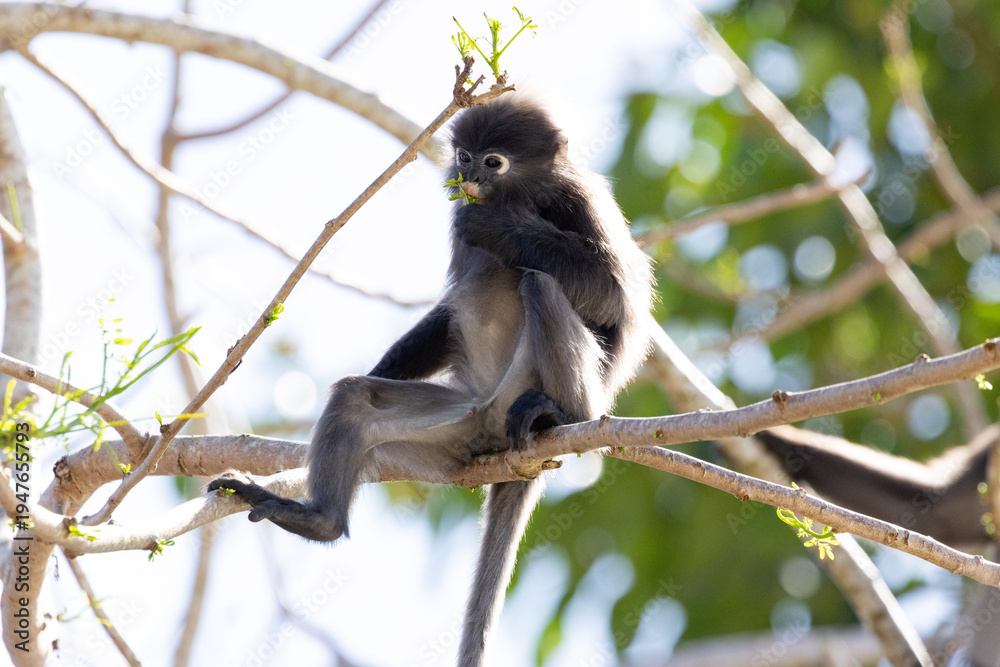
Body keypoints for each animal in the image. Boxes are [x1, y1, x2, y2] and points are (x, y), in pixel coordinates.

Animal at [209, 95, 654, 666]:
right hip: (458, 430)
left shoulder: (580, 201)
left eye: (493, 162)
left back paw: (562, 413)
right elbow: (445, 315)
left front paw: (498, 227)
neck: (524, 194)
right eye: (464, 155)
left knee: (540, 283)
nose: (468, 176)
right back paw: (318, 520)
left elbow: (615, 301)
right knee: (354, 398)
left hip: (551, 392)